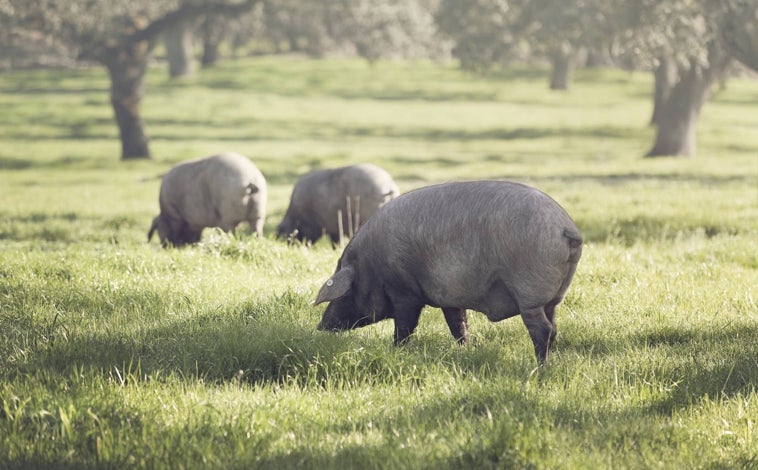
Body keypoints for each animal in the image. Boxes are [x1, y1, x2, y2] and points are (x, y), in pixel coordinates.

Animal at [314, 180, 580, 364]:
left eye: (345, 294)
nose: (320, 327)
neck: (371, 265)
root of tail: (566, 227)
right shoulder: (450, 298)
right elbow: (457, 325)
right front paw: (467, 350)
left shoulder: (404, 292)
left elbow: (405, 326)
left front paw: (396, 351)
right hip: (554, 298)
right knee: (554, 327)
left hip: (529, 293)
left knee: (543, 330)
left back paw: (540, 368)